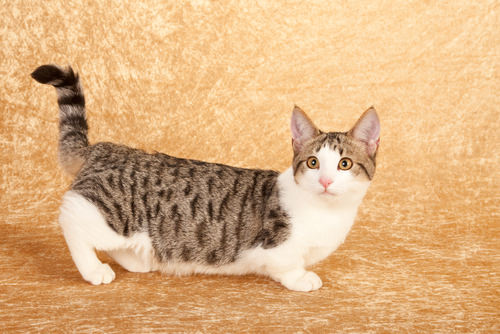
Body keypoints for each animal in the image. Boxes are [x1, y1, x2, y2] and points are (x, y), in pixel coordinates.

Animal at [31, 64, 378, 290]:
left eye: (344, 164)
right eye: (313, 162)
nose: (326, 181)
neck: (328, 213)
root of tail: (102, 148)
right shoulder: (277, 247)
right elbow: (287, 265)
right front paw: (301, 278)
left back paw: (138, 259)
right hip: (111, 213)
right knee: (72, 220)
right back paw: (93, 269)